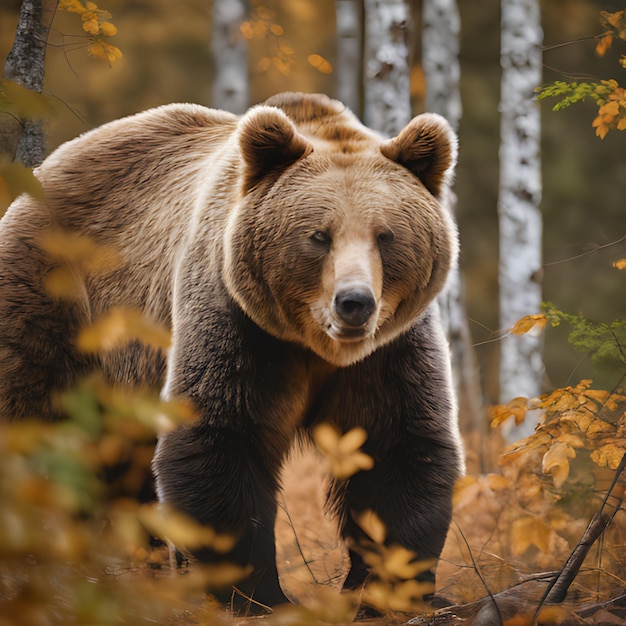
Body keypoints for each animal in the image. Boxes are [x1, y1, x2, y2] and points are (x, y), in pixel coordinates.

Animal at [0, 90, 464, 608]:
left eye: (385, 235)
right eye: (318, 236)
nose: (354, 303)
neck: (313, 346)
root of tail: (49, 166)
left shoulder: (389, 349)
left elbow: (398, 443)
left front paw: (384, 589)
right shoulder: (236, 320)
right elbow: (221, 435)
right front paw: (258, 595)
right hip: (60, 292)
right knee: (42, 421)